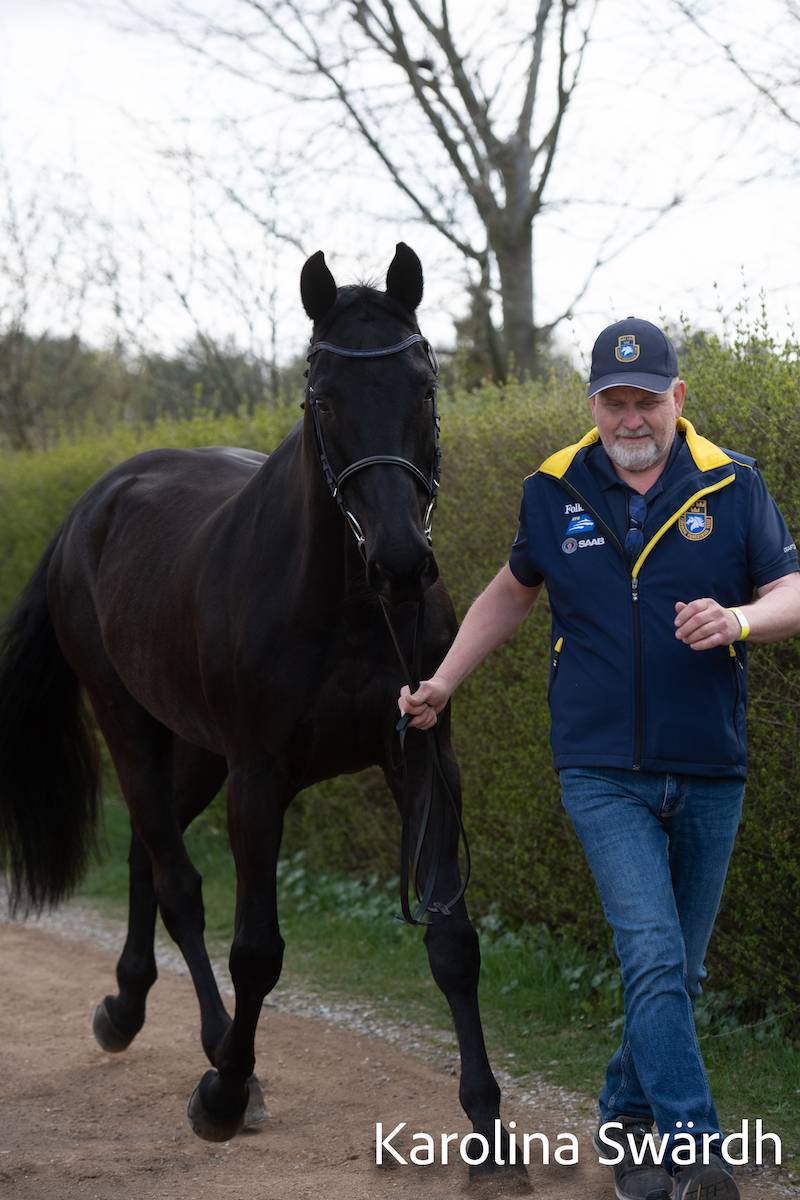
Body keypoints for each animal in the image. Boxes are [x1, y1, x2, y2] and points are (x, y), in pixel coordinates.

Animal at [0, 243, 513, 1172]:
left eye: (422, 387)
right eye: (324, 398)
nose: (399, 562)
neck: (349, 606)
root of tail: (96, 501)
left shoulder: (422, 753)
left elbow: (453, 941)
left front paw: (489, 1127)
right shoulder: (261, 777)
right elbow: (256, 952)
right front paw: (223, 1096)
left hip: (197, 749)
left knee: (146, 854)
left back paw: (125, 1006)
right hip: (134, 727)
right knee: (177, 882)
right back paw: (208, 1052)